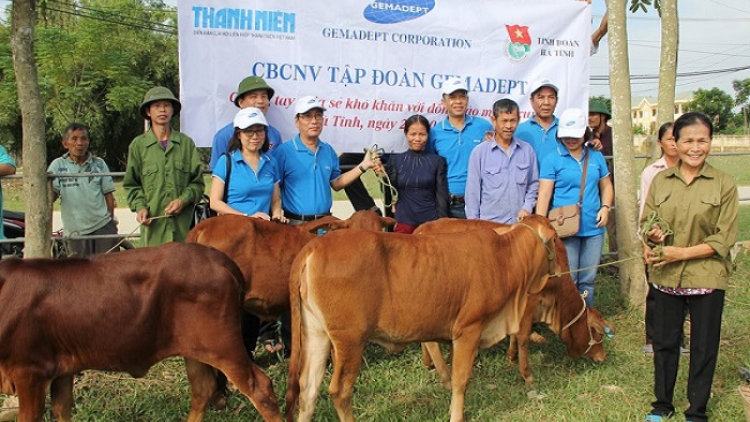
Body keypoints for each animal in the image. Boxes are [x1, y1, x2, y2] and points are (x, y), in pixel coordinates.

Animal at [0, 242, 280, 422]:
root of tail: (223, 261)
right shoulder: (61, 372)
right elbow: (62, 411)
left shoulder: (30, 371)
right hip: (195, 349)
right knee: (203, 389)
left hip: (223, 346)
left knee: (261, 387)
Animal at [284, 216, 560, 420]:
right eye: (557, 238)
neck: (505, 259)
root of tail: (315, 245)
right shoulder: (468, 329)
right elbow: (461, 380)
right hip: (349, 341)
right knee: (339, 391)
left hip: (316, 335)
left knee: (308, 390)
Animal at [412, 219, 616, 388]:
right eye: (599, 333)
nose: (603, 356)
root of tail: (422, 228)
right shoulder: (529, 302)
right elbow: (522, 336)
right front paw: (526, 374)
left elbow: (514, 333)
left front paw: (512, 357)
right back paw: (445, 375)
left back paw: (428, 363)